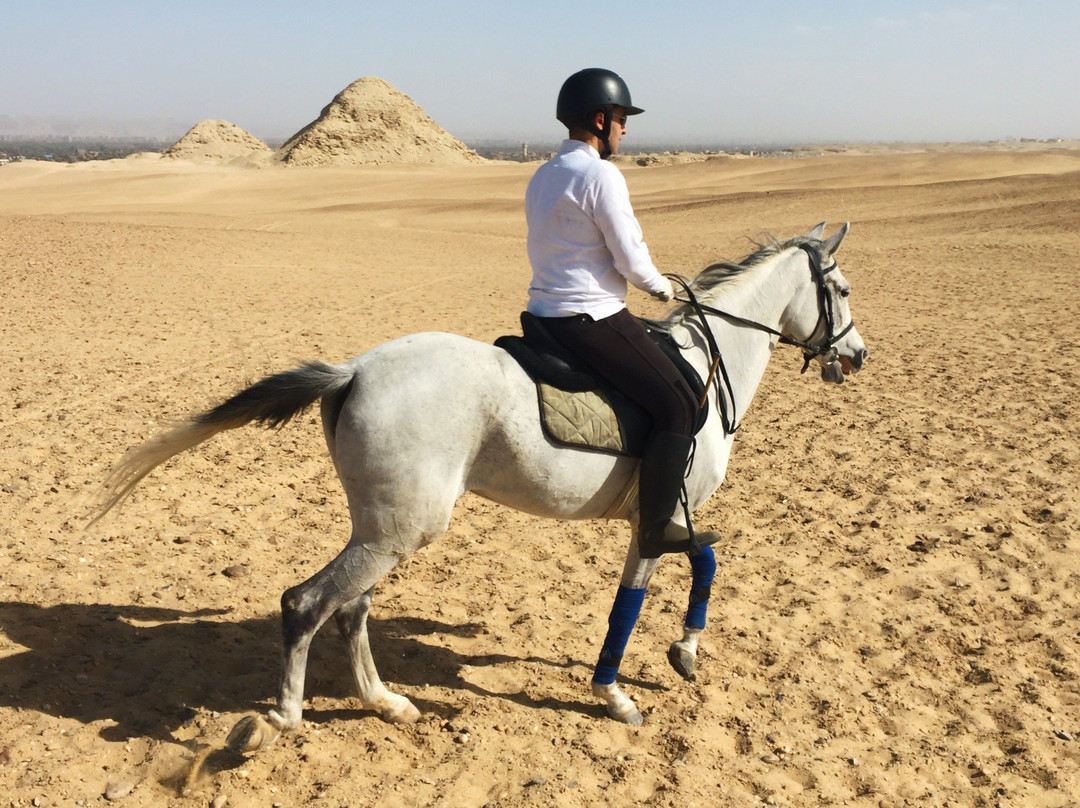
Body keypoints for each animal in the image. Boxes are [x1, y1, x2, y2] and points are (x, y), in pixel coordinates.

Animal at [91, 222, 867, 752]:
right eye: (842, 290)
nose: (856, 357)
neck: (706, 363)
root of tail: (354, 370)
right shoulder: (661, 517)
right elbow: (676, 577)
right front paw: (630, 684)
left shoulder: (658, 521)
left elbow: (691, 568)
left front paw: (676, 656)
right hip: (403, 529)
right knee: (306, 602)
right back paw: (285, 715)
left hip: (384, 527)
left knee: (349, 608)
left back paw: (387, 703)